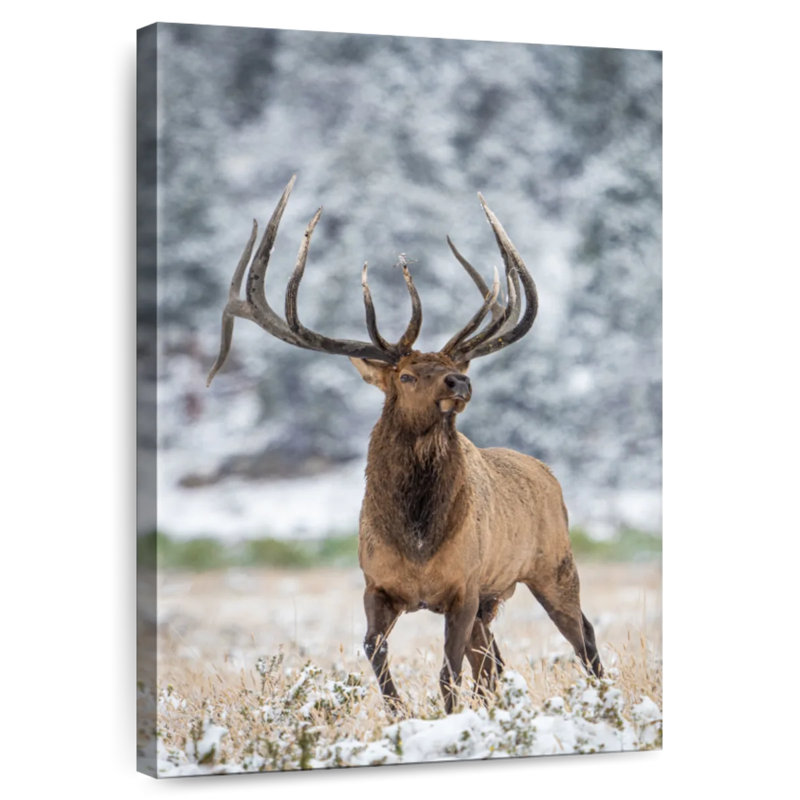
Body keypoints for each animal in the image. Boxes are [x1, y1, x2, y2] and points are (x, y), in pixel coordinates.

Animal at [206, 176, 603, 715]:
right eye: (407, 375)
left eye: (456, 366)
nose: (460, 382)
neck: (416, 540)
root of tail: (550, 474)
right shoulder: (377, 585)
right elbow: (375, 652)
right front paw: (398, 712)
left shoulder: (463, 588)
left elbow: (447, 674)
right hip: (497, 598)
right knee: (495, 664)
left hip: (553, 566)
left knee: (582, 636)